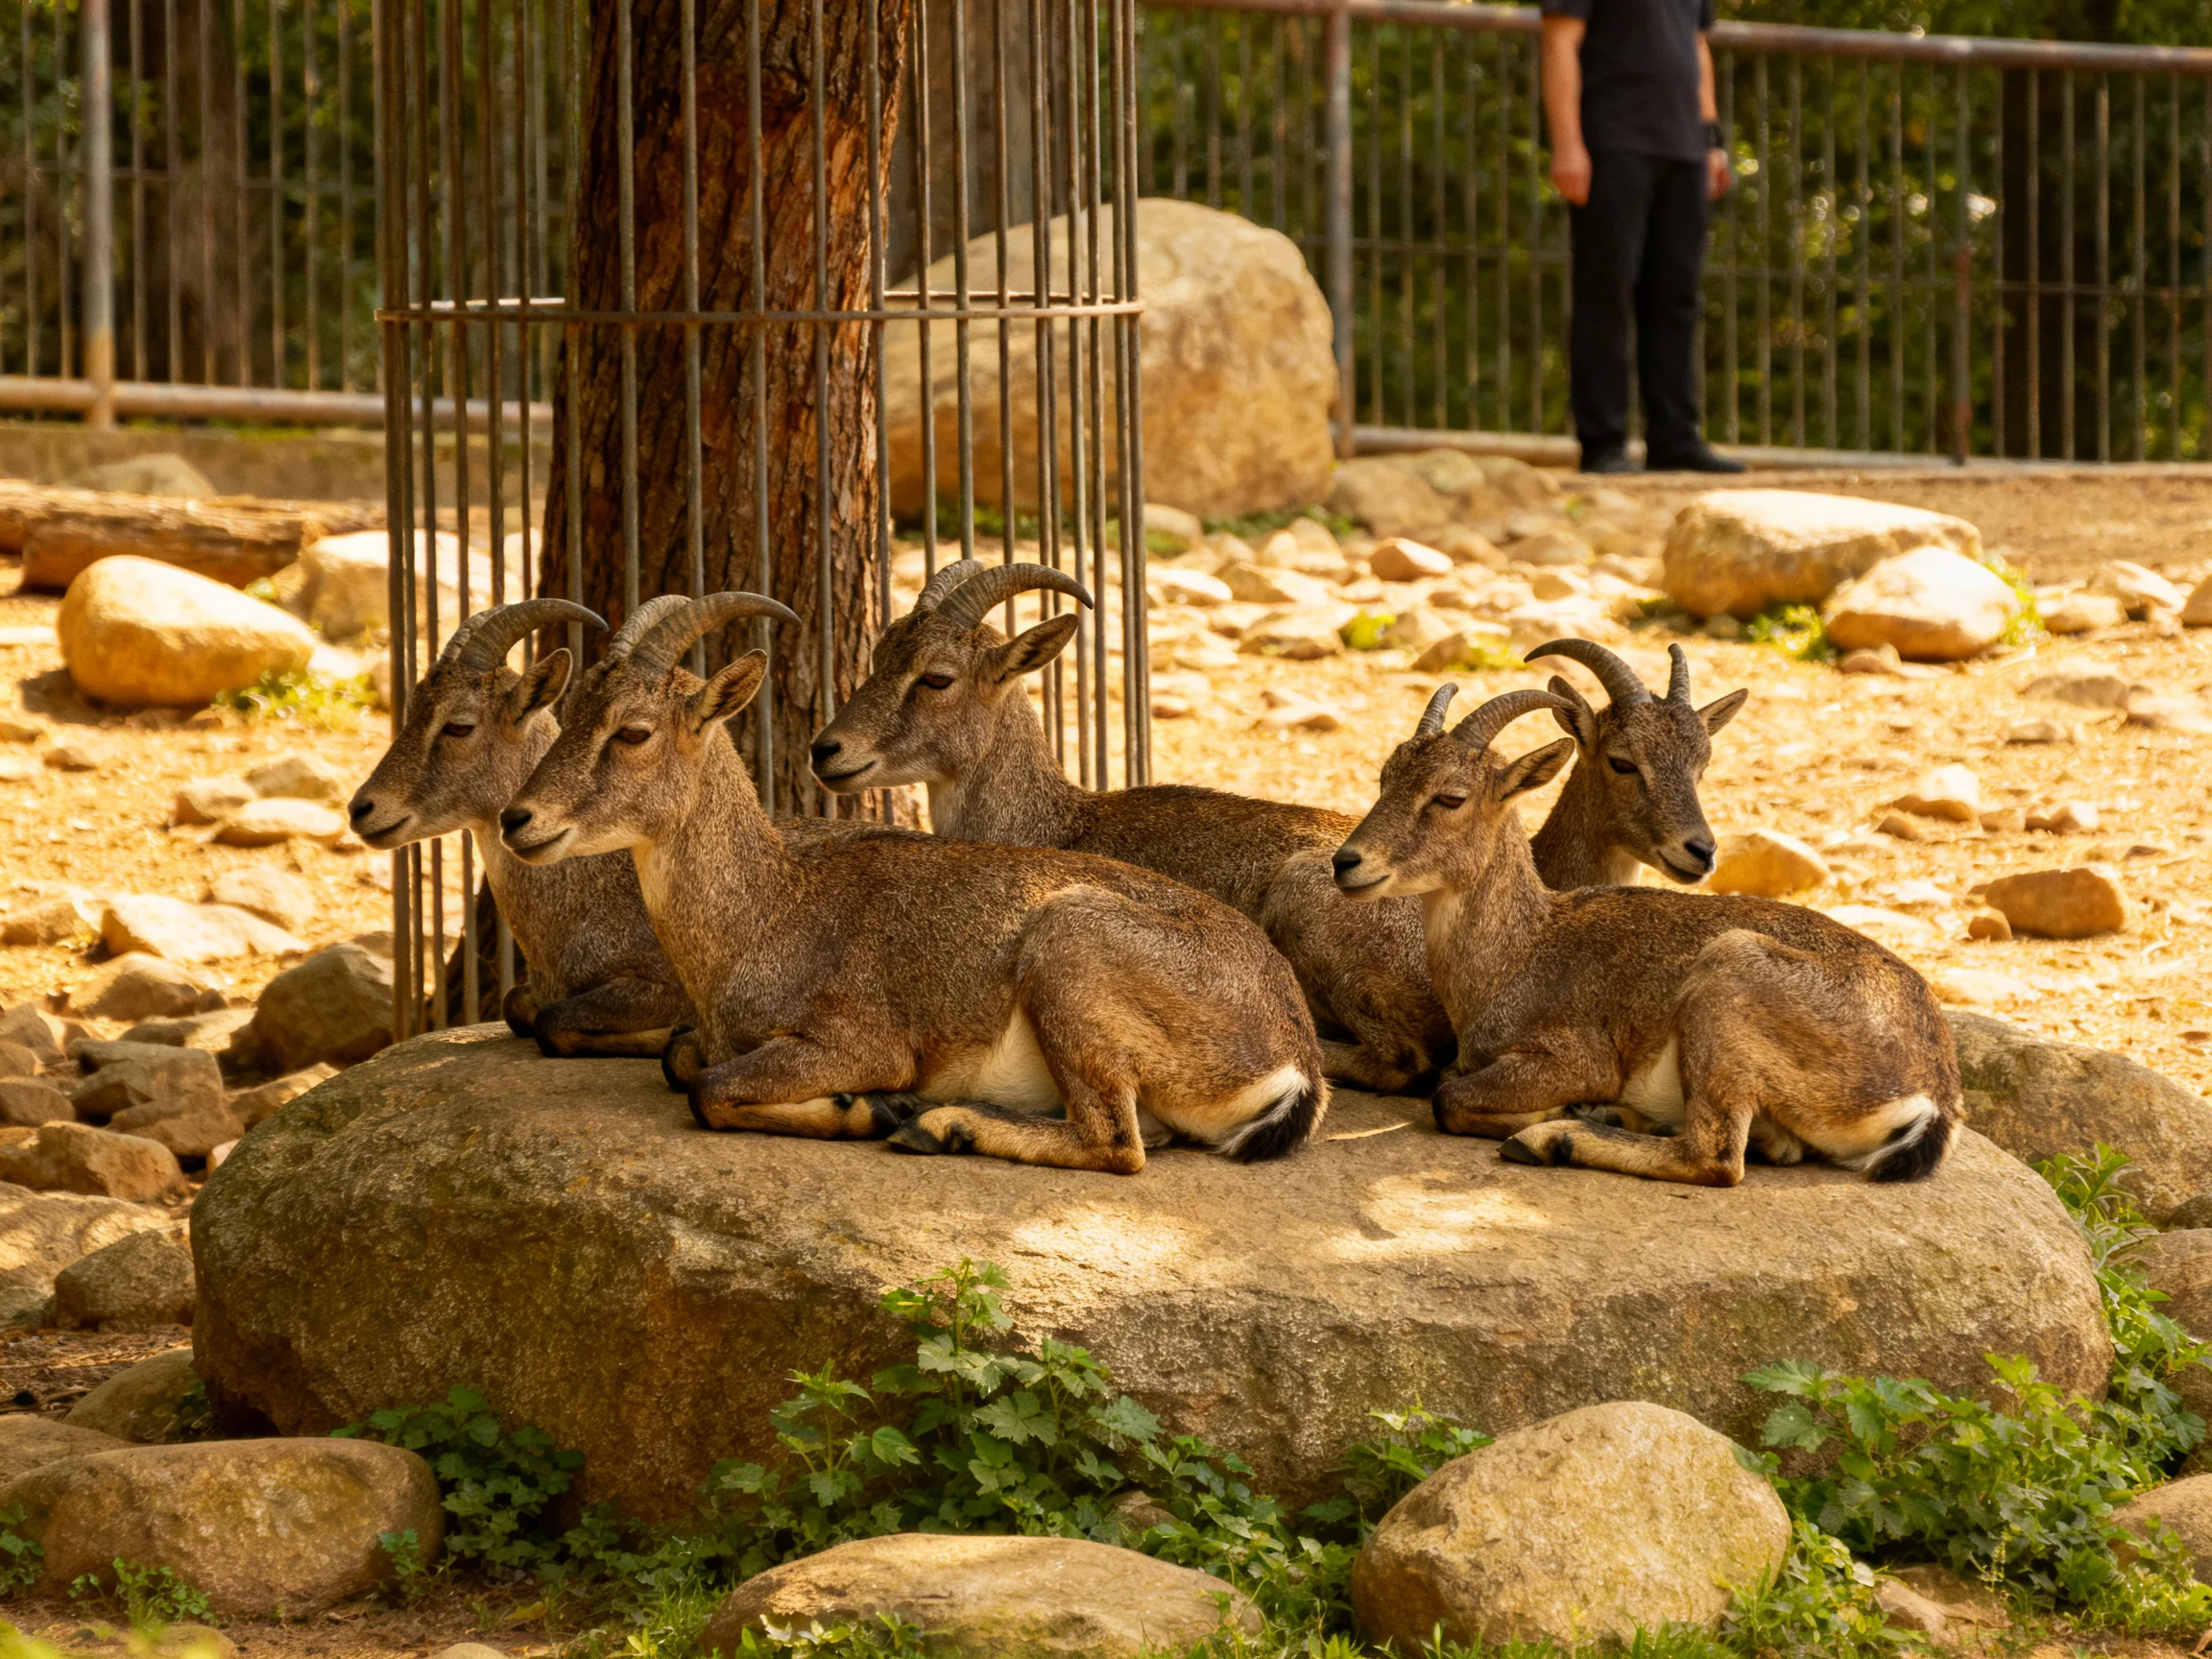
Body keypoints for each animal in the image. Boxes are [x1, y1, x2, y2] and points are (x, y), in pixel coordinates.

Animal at [499, 591, 1328, 1174]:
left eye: (633, 731)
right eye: (572, 710)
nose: (518, 818)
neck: (766, 914)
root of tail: (1295, 1057)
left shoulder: (860, 1040)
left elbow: (709, 1090)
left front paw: (866, 1108)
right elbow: (684, 1064)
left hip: (1067, 951)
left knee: (1117, 1145)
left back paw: (935, 1125)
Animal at [1329, 685, 1960, 1187]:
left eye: (1450, 797)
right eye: (1385, 779)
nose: (1347, 862)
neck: (1517, 951)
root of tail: (1934, 1091)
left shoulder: (1574, 1055)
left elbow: (1446, 1096)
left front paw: (1554, 1116)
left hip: (1727, 977)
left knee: (1715, 1159)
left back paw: (1559, 1137)